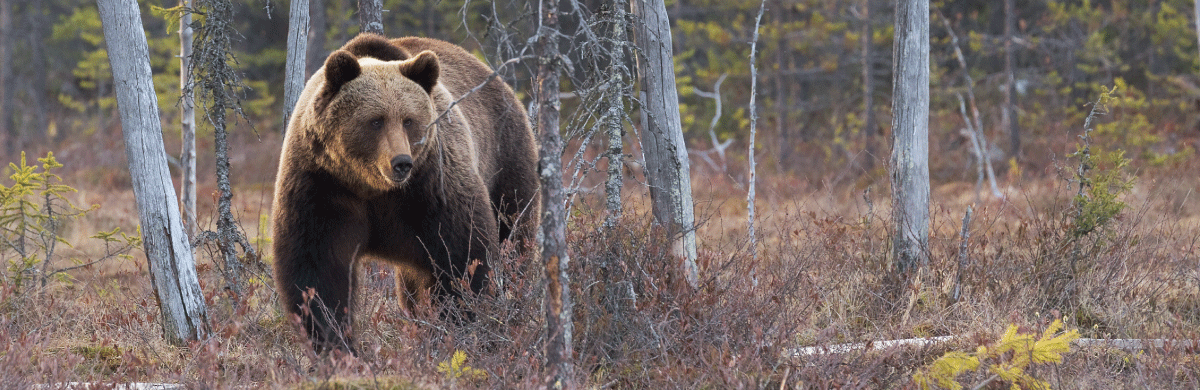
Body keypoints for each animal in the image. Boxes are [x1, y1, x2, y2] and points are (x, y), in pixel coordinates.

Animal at [272, 32, 540, 350]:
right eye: (375, 120)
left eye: (409, 120)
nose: (401, 162)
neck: (372, 187)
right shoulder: (322, 185)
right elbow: (317, 269)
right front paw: (334, 342)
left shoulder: (432, 186)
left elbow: (462, 257)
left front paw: (457, 328)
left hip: (506, 160)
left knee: (513, 239)